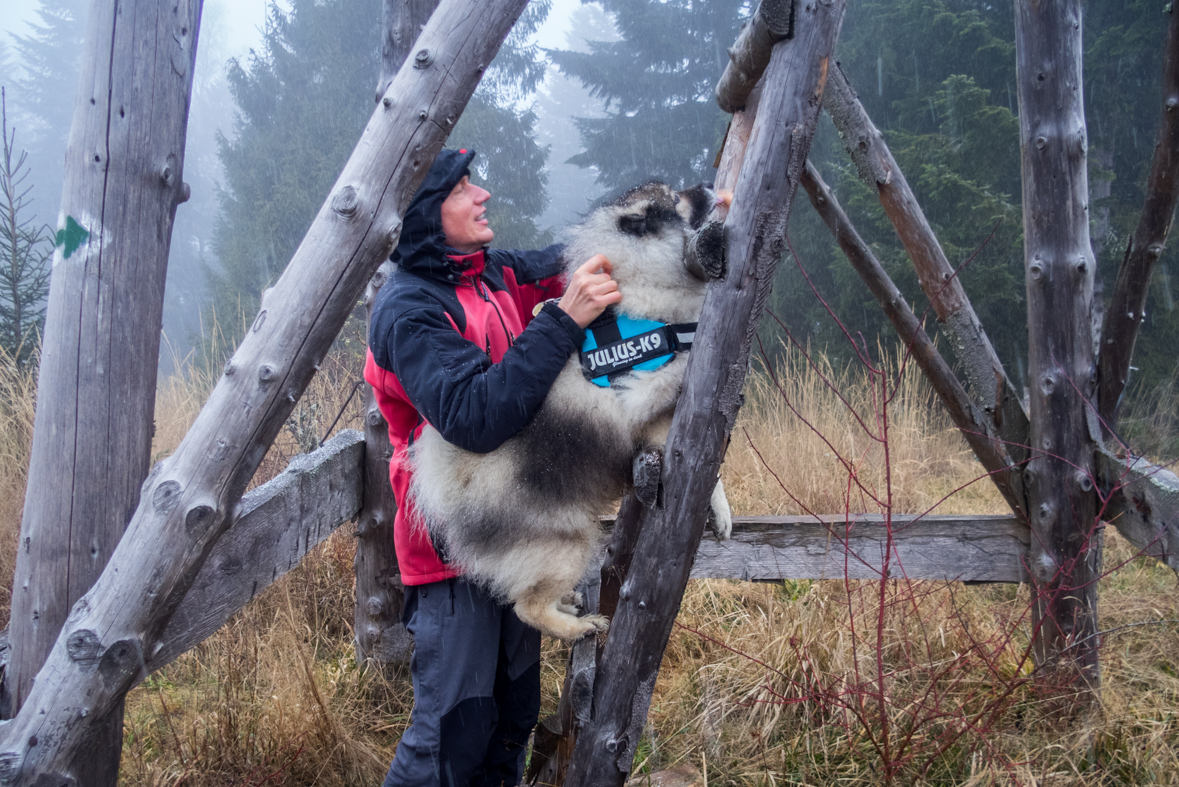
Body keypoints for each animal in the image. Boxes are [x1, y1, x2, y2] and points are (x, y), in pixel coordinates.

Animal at [410, 182, 730, 640]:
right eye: (675, 200)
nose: (708, 187)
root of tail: (455, 489)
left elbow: (714, 470)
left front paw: (720, 513)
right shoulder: (658, 422)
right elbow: (706, 466)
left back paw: (569, 607)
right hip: (570, 545)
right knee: (526, 606)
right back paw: (579, 628)